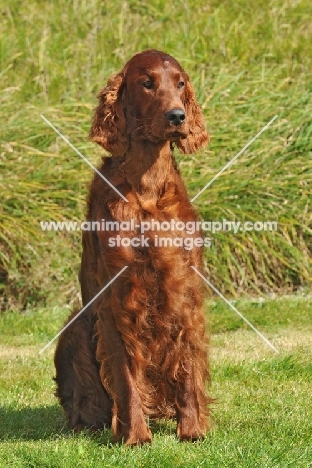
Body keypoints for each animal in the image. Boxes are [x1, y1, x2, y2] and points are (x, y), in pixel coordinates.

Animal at [54, 49, 212, 444]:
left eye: (180, 83)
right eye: (147, 83)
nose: (177, 116)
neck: (146, 188)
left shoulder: (184, 289)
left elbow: (187, 367)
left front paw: (191, 429)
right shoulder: (116, 298)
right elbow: (126, 378)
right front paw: (136, 436)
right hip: (75, 327)